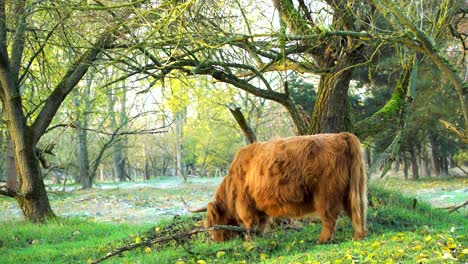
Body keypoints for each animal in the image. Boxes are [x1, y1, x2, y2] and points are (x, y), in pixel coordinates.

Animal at [186, 132, 366, 243]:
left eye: (212, 222)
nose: (217, 240)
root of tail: (341, 135)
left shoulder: (245, 204)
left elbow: (250, 224)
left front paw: (249, 241)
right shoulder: (259, 209)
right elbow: (260, 226)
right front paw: (259, 238)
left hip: (325, 193)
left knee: (329, 216)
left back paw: (322, 240)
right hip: (354, 188)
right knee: (357, 210)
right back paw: (359, 236)